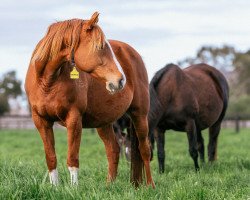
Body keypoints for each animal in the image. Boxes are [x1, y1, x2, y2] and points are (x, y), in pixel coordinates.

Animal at [25, 12, 154, 188]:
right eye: (100, 47)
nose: (120, 81)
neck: (47, 81)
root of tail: (132, 53)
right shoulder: (41, 121)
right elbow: (51, 158)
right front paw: (55, 188)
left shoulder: (74, 119)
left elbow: (72, 158)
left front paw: (74, 189)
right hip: (104, 122)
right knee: (113, 150)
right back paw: (109, 186)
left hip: (139, 115)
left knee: (144, 149)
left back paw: (150, 185)